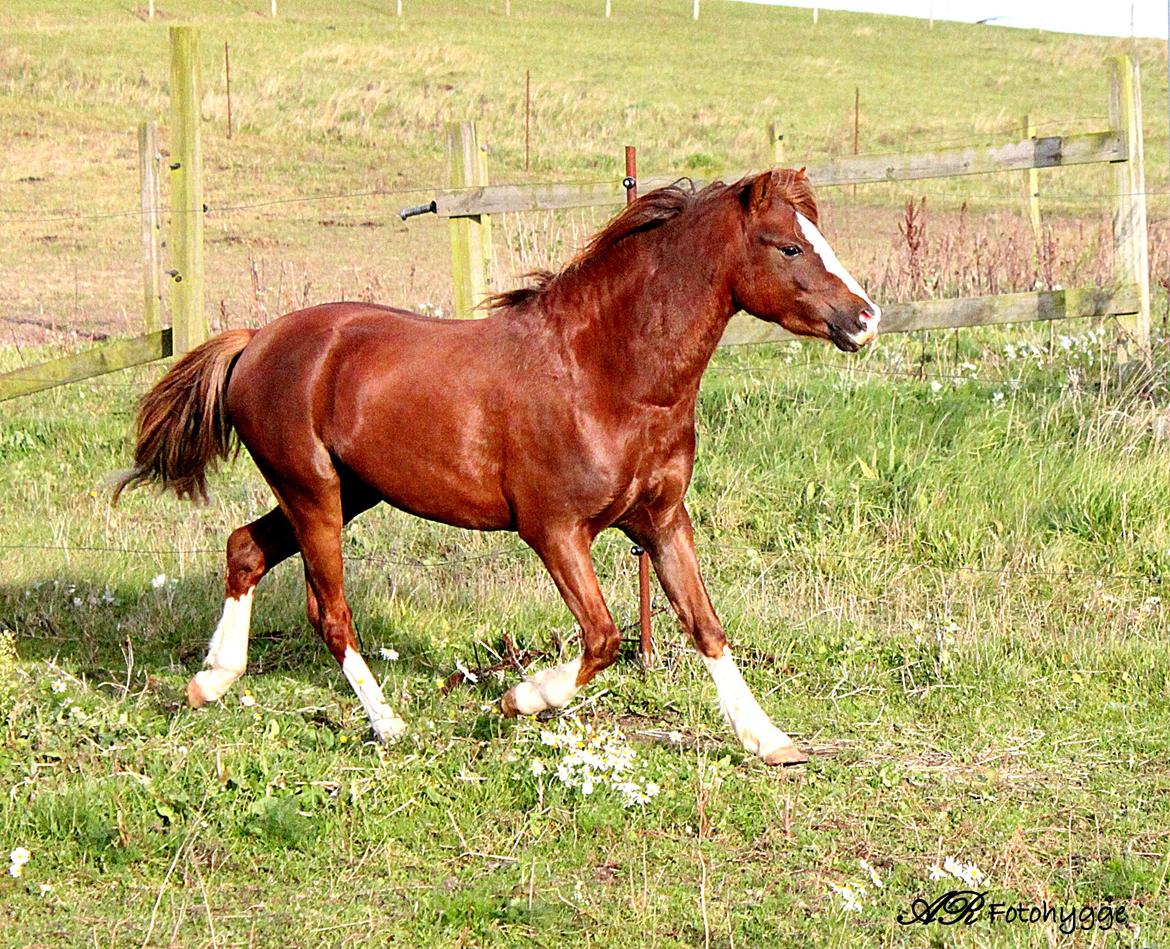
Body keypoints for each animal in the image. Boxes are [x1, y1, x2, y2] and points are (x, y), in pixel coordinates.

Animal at [114, 167, 880, 766]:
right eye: (788, 245)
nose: (865, 318)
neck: (607, 374)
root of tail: (255, 341)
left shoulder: (661, 520)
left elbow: (706, 625)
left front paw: (770, 739)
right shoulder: (555, 530)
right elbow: (603, 636)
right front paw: (520, 698)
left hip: (347, 491)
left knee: (244, 548)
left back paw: (210, 680)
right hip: (314, 493)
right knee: (329, 612)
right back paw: (388, 723)